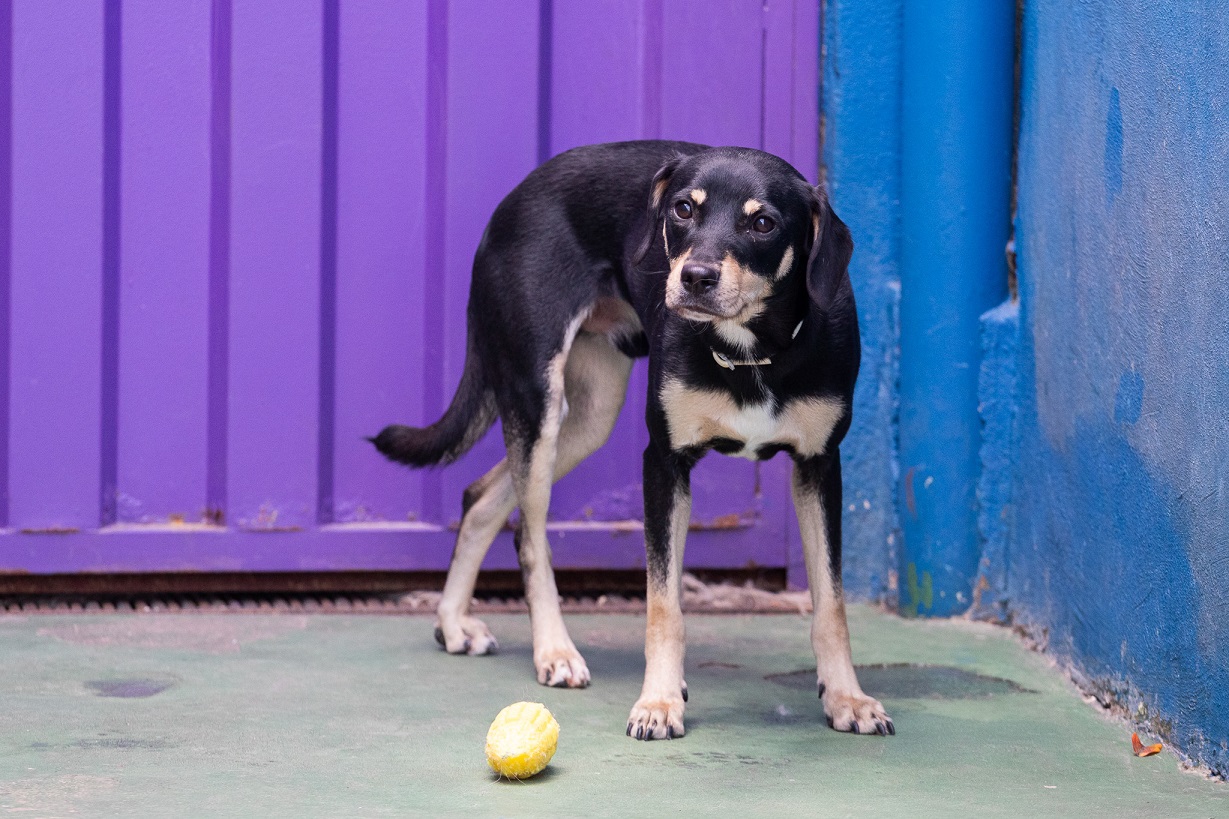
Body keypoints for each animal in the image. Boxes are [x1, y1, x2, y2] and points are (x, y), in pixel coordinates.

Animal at [366, 137, 894, 737]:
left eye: (763, 222)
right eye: (683, 209)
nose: (695, 277)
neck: (751, 351)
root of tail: (513, 200)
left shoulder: (820, 466)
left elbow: (831, 605)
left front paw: (848, 697)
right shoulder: (663, 463)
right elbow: (663, 604)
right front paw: (660, 702)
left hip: (588, 418)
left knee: (481, 499)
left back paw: (453, 622)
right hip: (538, 398)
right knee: (530, 535)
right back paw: (554, 651)